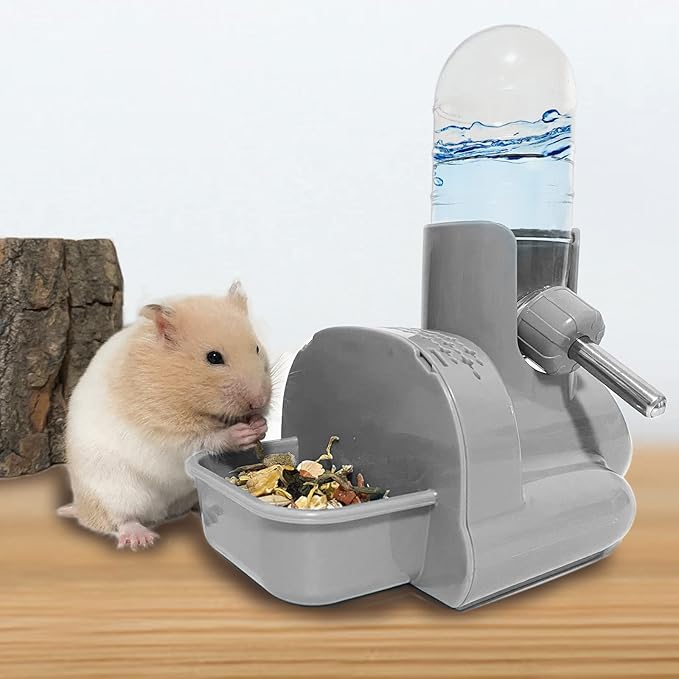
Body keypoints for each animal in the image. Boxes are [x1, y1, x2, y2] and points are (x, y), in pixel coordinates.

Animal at [58, 282, 272, 550]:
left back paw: (209, 511)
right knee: (119, 520)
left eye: (256, 348)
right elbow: (207, 439)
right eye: (213, 357)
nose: (259, 402)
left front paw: (260, 424)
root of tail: (80, 507)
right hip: (113, 491)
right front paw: (241, 432)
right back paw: (141, 539)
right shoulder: (168, 436)